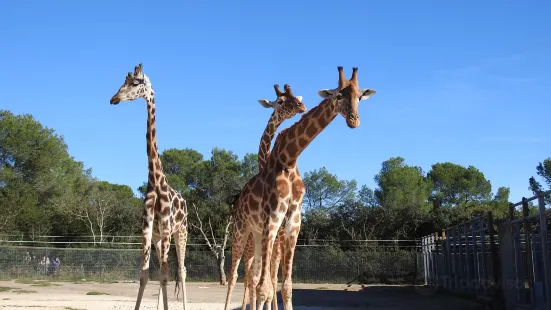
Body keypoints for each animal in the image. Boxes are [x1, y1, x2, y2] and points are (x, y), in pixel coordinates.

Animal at [109, 63, 189, 310]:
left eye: (136, 82)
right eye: (124, 81)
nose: (113, 99)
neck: (155, 180)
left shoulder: (167, 228)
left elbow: (164, 274)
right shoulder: (147, 229)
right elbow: (145, 275)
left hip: (181, 233)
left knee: (181, 270)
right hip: (158, 238)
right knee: (167, 270)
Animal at [225, 83, 310, 310]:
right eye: (279, 101)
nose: (301, 106)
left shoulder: (277, 238)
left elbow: (271, 281)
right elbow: (264, 282)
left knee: (258, 277)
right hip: (247, 240)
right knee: (243, 276)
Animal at [252, 66, 378, 310]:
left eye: (359, 97)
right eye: (338, 95)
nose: (354, 121)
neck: (288, 158)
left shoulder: (294, 220)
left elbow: (286, 287)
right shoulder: (273, 218)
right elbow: (264, 287)